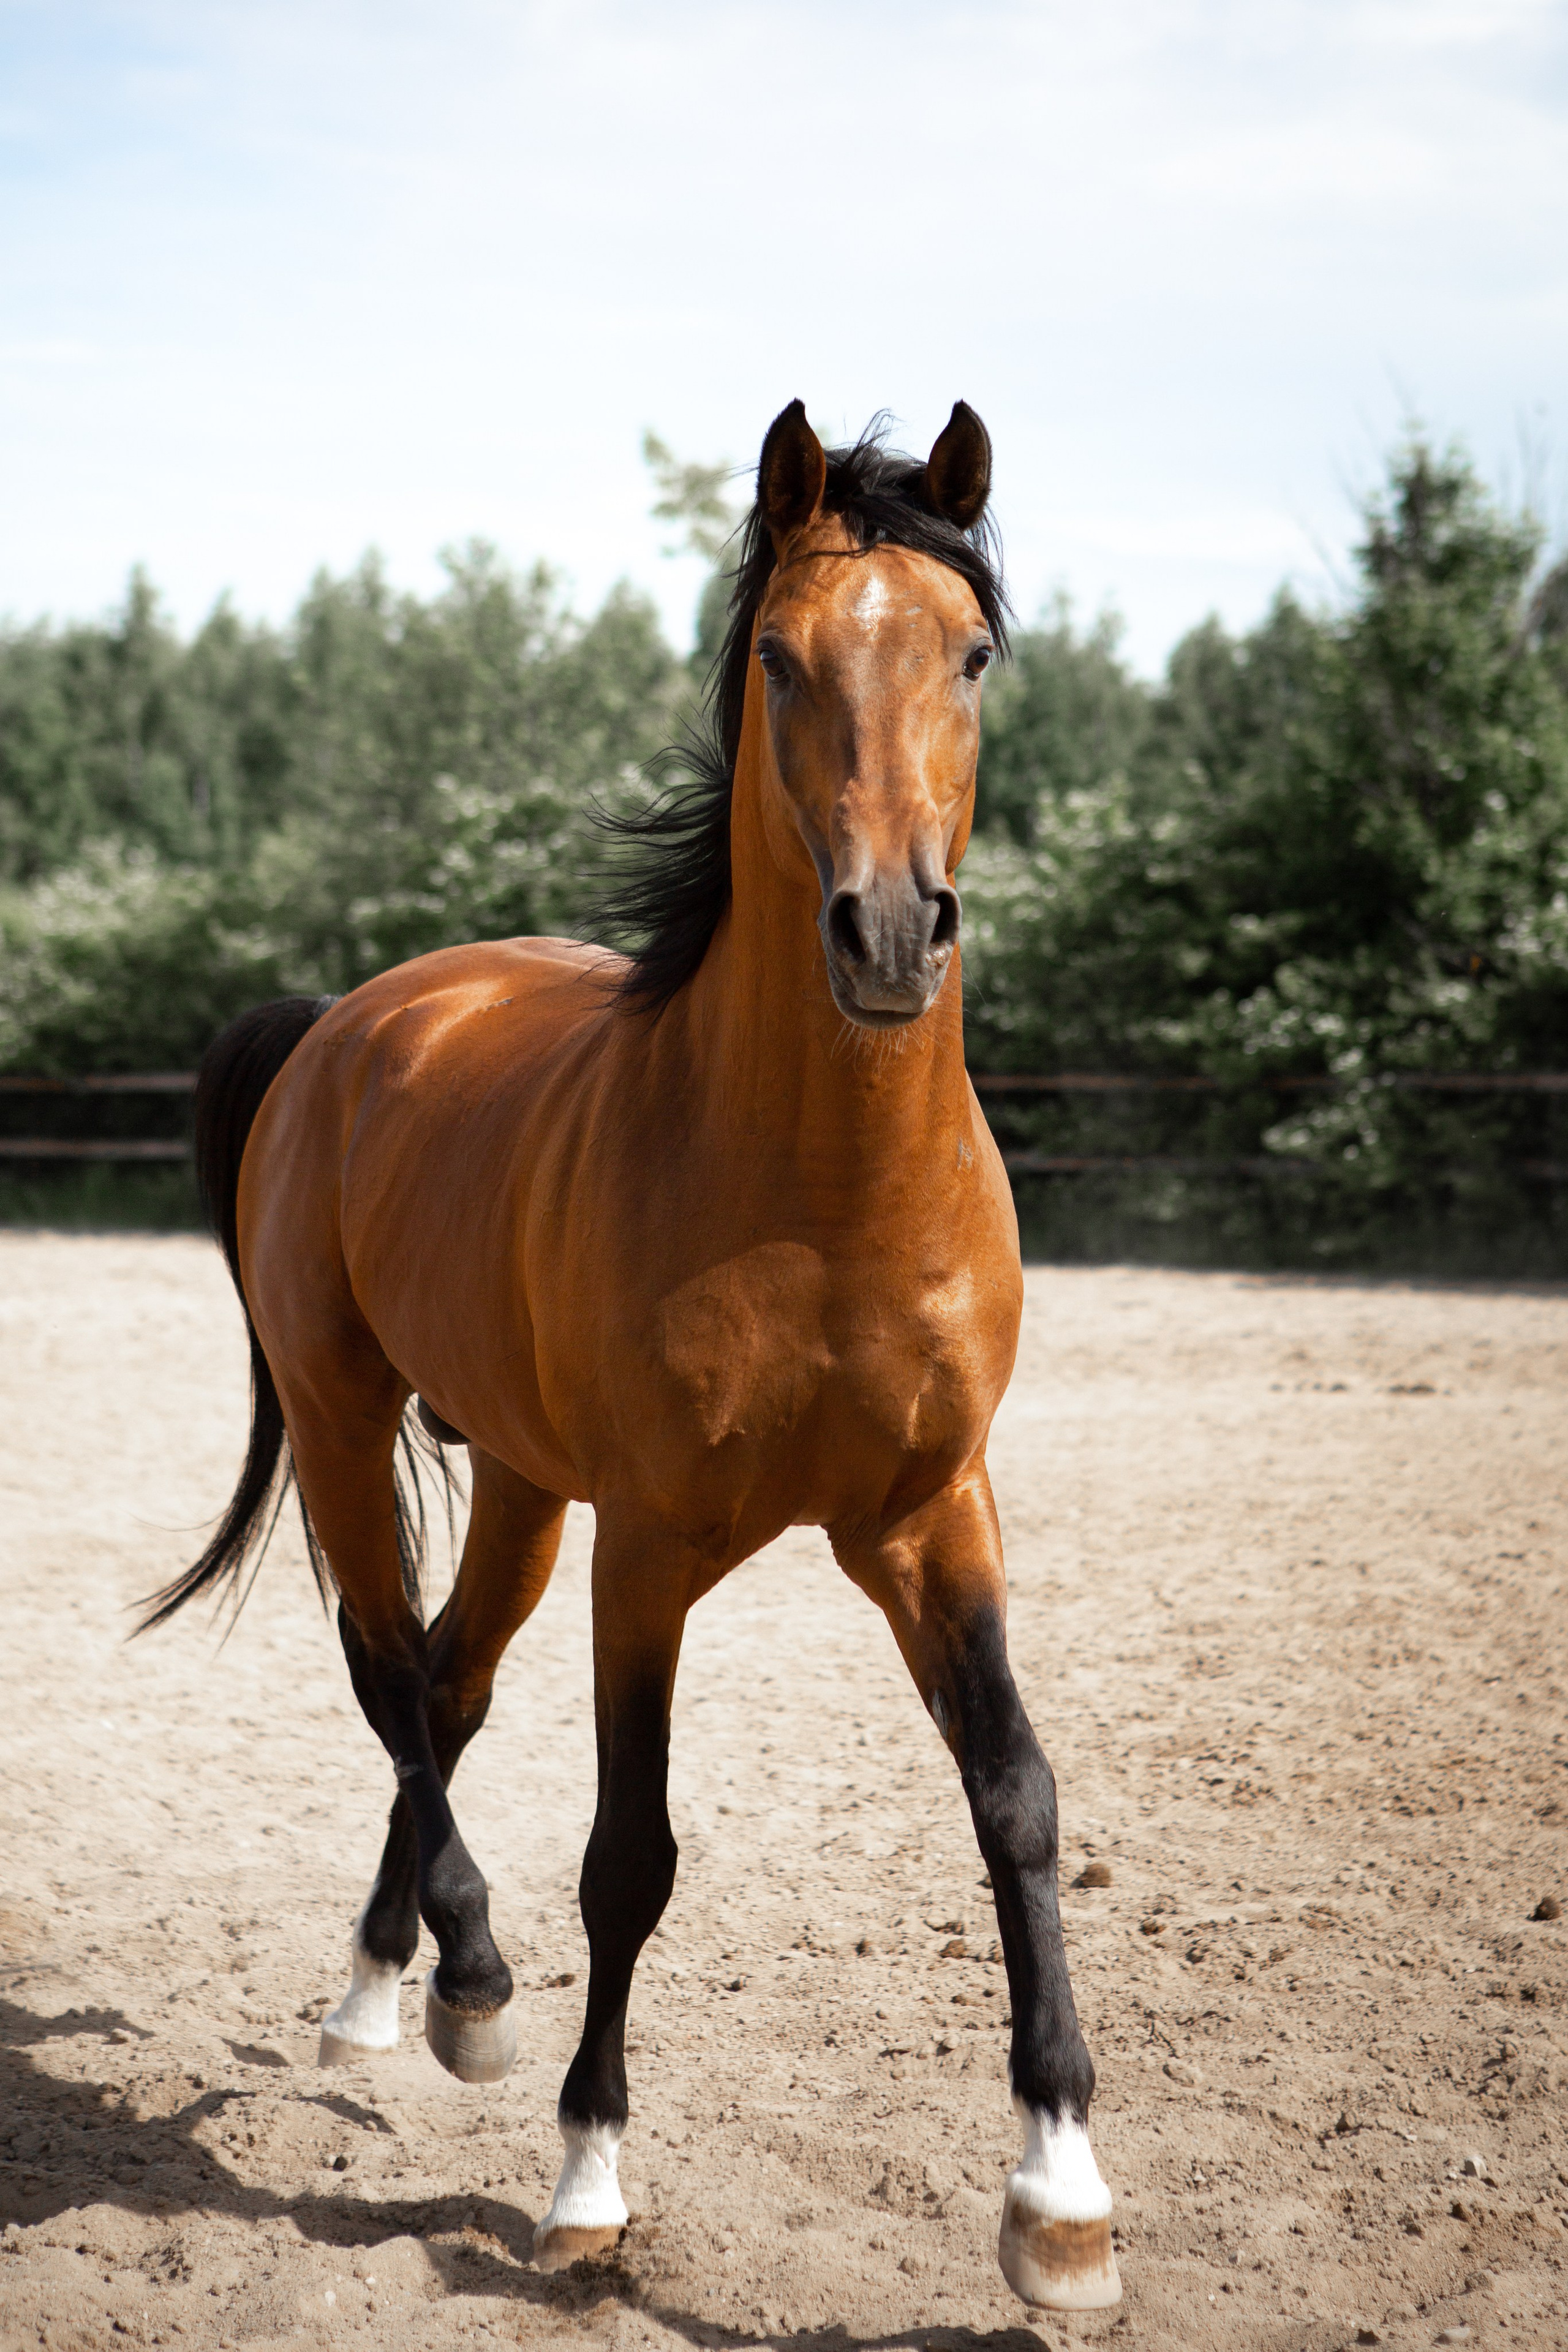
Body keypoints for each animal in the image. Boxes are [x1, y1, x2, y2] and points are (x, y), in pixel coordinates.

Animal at [144, 399, 1120, 2312]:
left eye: (969, 655)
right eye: (779, 657)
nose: (888, 933)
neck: (821, 1191)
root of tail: (349, 1020)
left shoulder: (932, 1514)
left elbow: (1018, 1798)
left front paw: (1060, 2199)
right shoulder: (651, 1551)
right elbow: (629, 1854)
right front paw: (588, 2179)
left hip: (523, 1483)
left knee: (447, 1683)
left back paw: (386, 1992)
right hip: (349, 1419)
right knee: (390, 1680)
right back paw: (463, 1985)